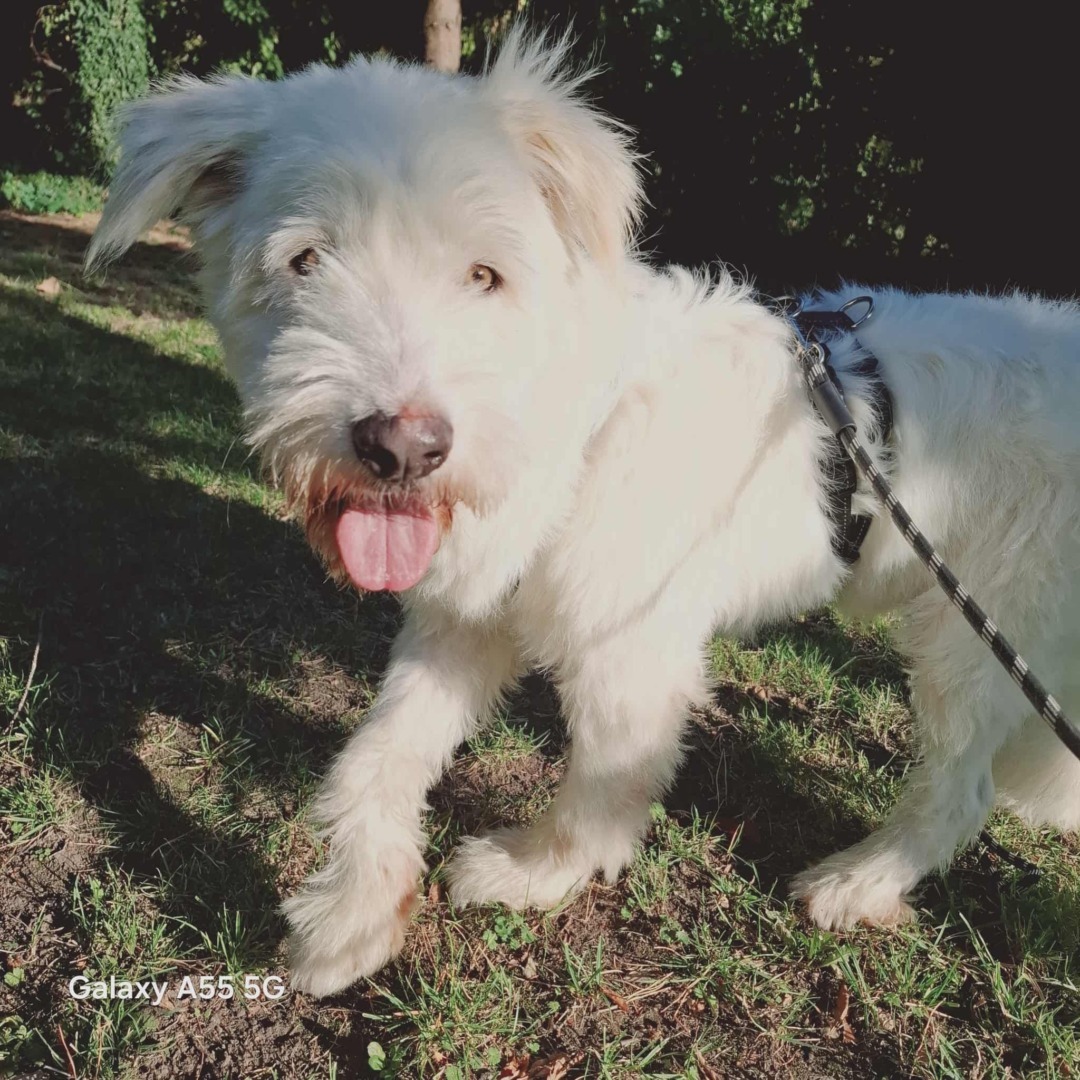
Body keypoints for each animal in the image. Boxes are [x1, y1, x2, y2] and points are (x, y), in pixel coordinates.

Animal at [86, 29, 1080, 998]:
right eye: (305, 261)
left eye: (485, 274)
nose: (402, 449)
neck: (569, 423)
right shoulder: (462, 621)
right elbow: (380, 751)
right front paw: (353, 917)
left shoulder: (629, 656)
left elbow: (603, 786)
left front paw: (530, 874)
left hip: (973, 635)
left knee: (959, 791)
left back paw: (858, 882)